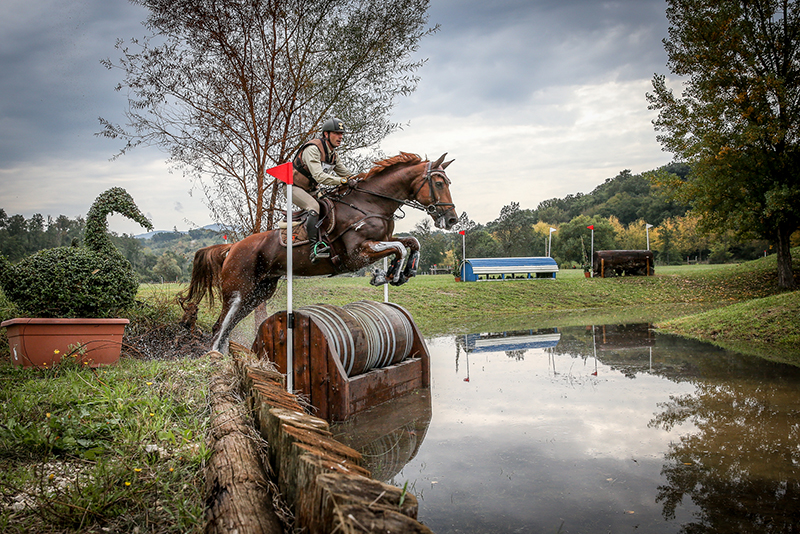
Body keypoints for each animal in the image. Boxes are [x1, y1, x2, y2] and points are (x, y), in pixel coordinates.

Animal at [180, 151, 456, 354]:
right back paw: (216, 357)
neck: (369, 204)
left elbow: (412, 242)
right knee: (220, 326)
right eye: (439, 183)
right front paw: (385, 276)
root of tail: (231, 247)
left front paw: (403, 273)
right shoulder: (357, 254)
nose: (451, 219)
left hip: (258, 293)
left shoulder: (383, 240)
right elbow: (398, 247)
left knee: (227, 327)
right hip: (238, 291)